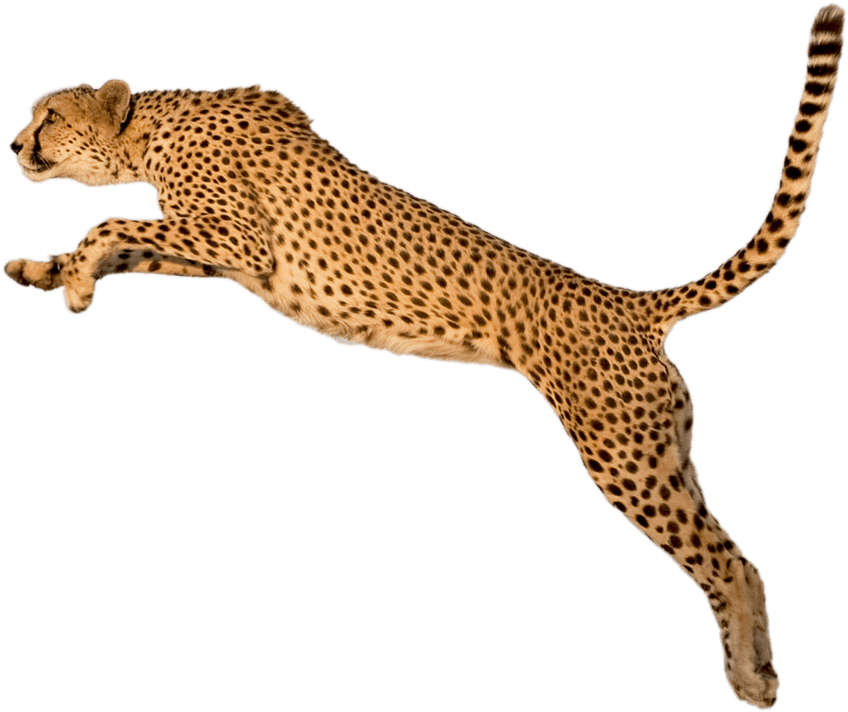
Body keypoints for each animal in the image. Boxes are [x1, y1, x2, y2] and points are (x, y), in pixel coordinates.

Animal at [4, 4, 844, 708]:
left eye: (50, 115)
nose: (14, 143)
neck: (150, 125)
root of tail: (629, 301)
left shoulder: (238, 240)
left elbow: (108, 223)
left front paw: (72, 283)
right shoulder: (225, 260)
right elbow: (121, 245)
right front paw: (46, 273)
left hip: (623, 456)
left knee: (726, 561)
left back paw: (754, 681)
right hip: (662, 450)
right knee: (731, 554)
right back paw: (755, 666)